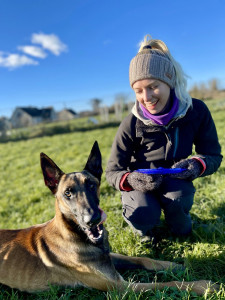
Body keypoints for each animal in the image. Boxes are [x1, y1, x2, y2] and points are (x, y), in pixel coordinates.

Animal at [0, 142, 218, 296]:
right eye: (67, 193)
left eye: (91, 185)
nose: (92, 219)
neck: (74, 233)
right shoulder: (121, 286)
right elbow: (167, 284)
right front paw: (202, 285)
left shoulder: (109, 257)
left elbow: (142, 259)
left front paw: (172, 265)